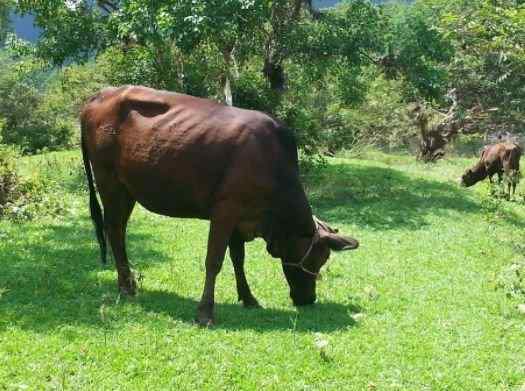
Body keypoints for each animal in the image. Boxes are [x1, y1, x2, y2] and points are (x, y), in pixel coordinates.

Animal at [80, 86, 358, 328]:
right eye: (317, 260)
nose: (308, 299)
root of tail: (101, 95)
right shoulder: (225, 210)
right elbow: (214, 261)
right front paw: (205, 312)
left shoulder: (239, 219)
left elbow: (238, 259)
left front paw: (248, 298)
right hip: (110, 183)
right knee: (114, 230)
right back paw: (126, 287)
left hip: (128, 190)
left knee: (117, 231)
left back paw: (128, 283)